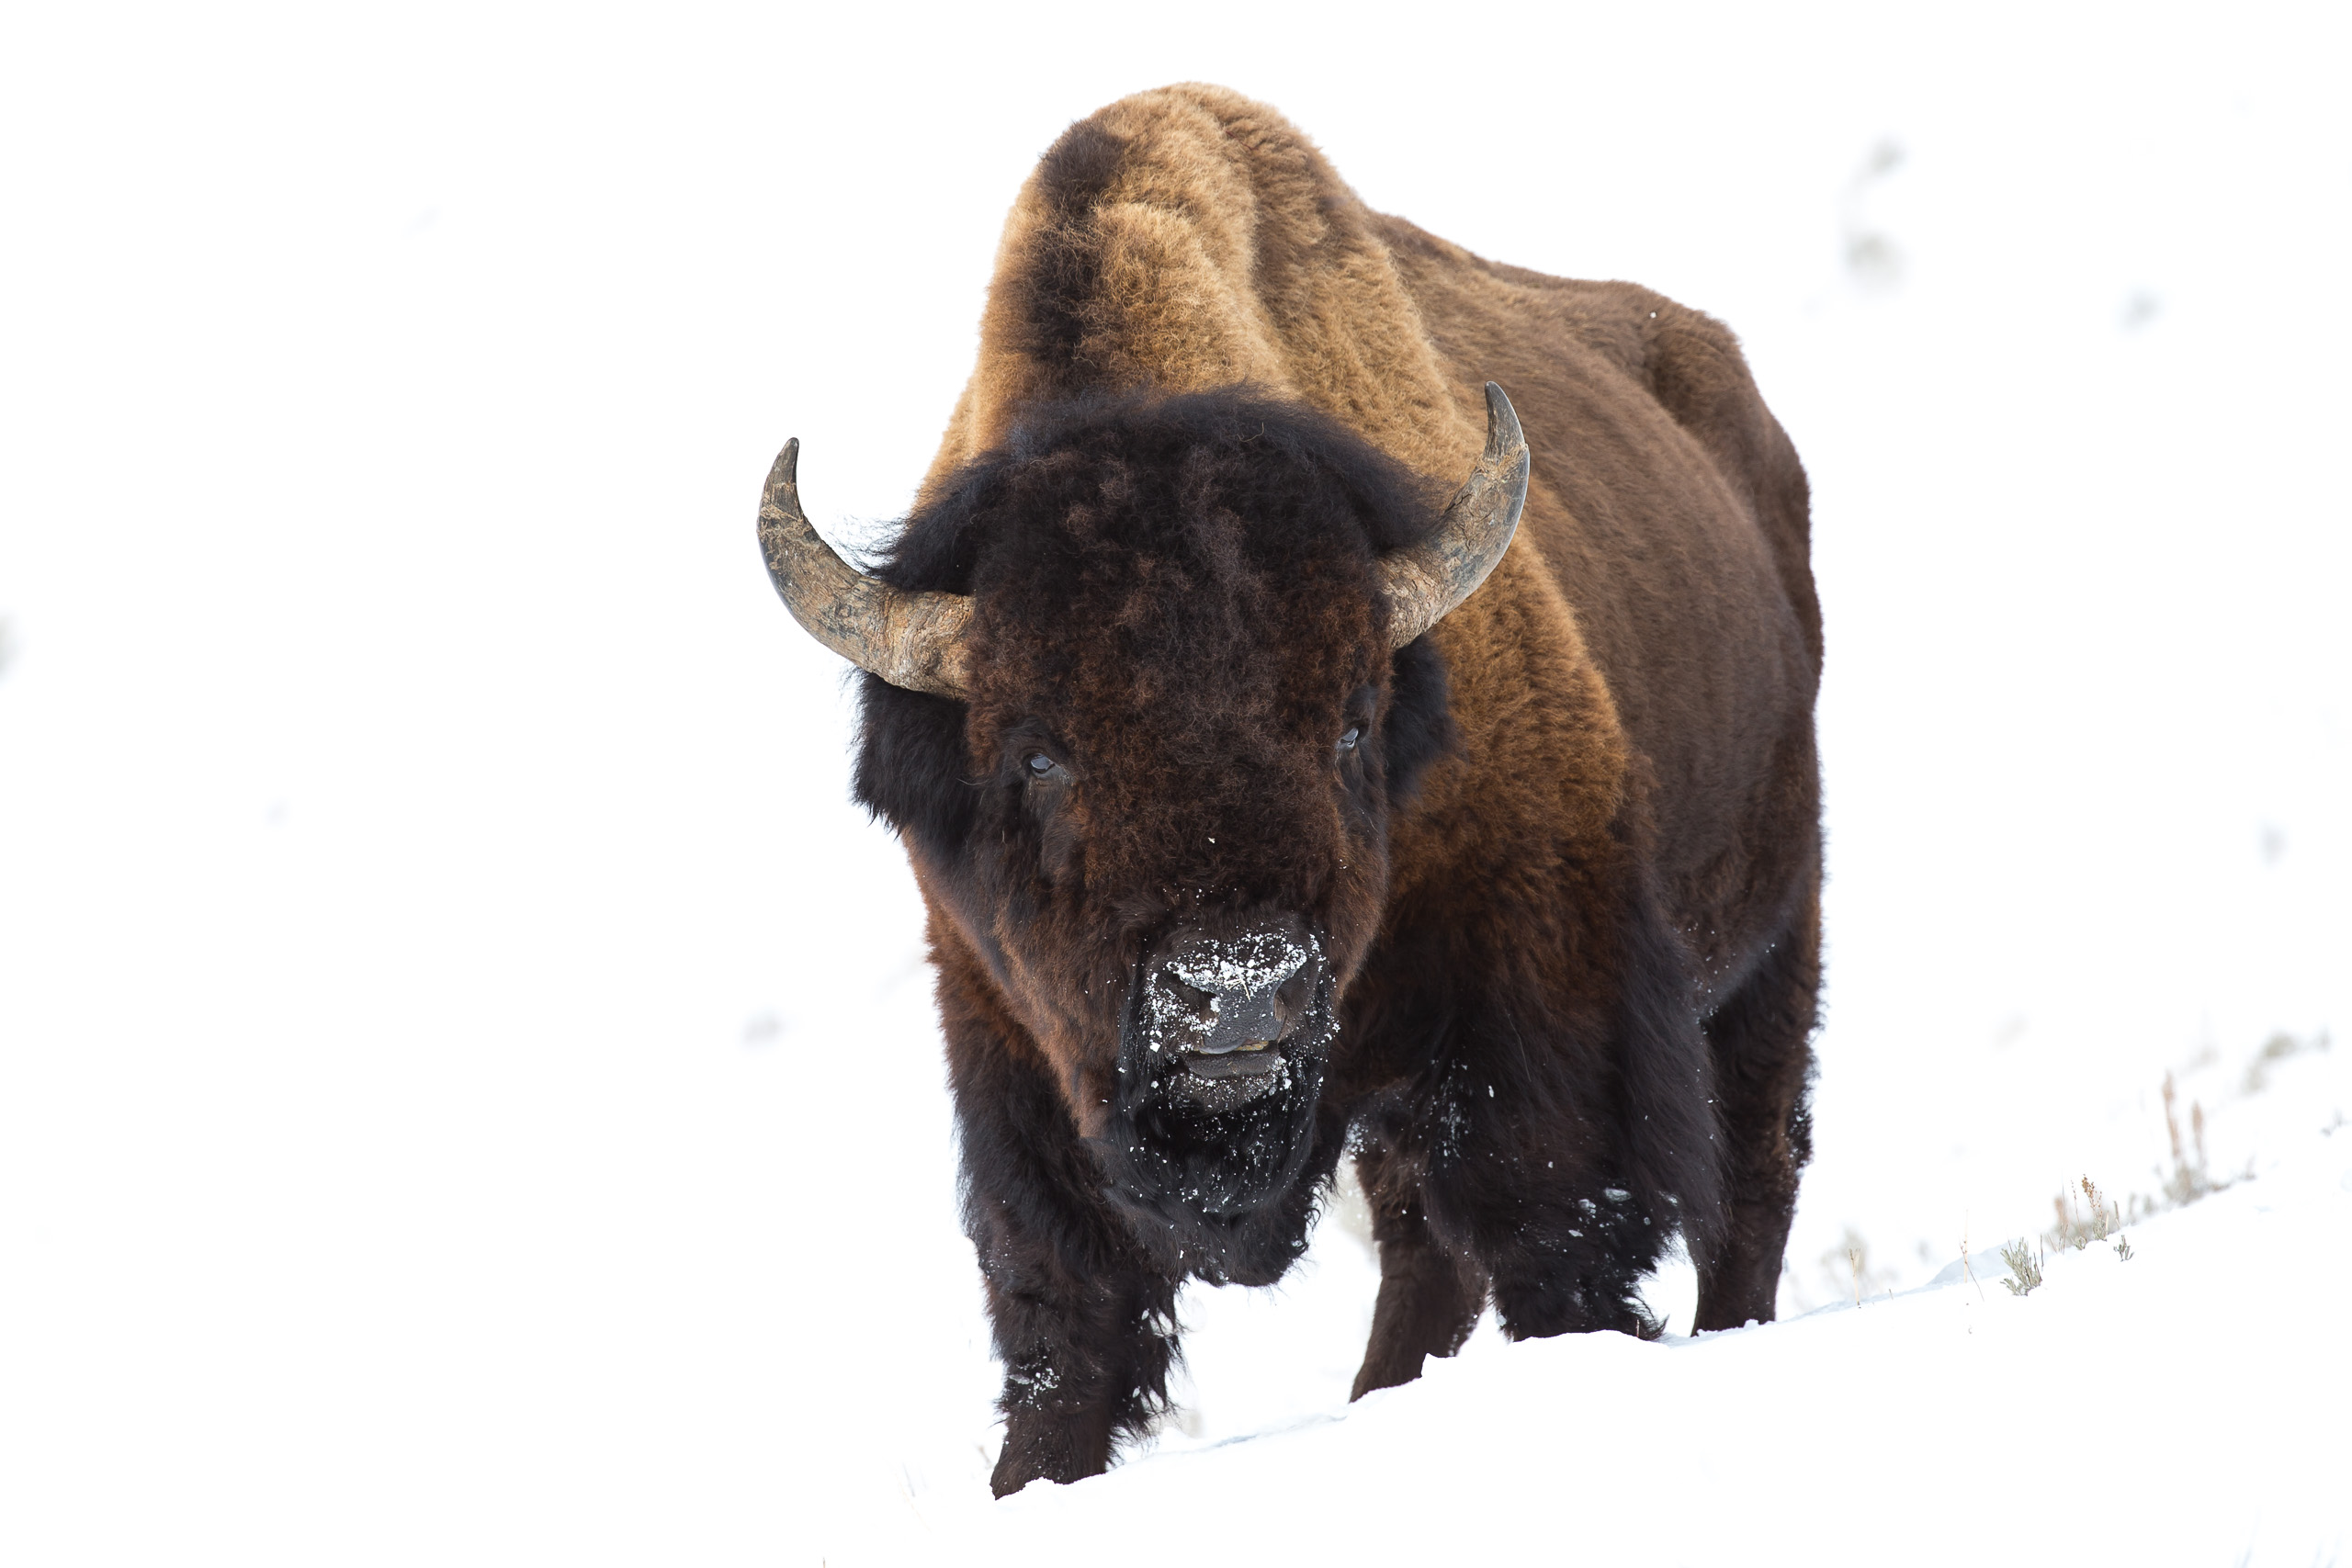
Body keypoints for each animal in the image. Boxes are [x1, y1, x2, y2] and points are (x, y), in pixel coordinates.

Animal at [758, 84, 1823, 1496]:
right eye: (1036, 755)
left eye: (1350, 726)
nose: (1240, 991)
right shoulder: (1003, 1034)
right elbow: (1065, 1306)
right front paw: (1029, 1479)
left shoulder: (1544, 992)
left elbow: (1556, 1227)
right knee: (1424, 1249)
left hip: (1774, 935)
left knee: (1749, 1173)